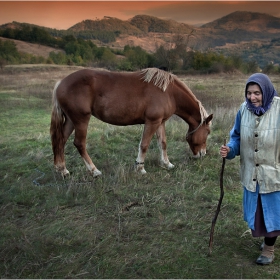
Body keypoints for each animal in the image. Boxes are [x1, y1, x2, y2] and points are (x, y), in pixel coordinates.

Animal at [49, 67, 212, 177]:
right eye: (208, 132)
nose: (202, 154)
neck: (168, 92)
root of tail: (60, 83)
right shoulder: (152, 122)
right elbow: (144, 145)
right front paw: (140, 168)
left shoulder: (160, 122)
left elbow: (163, 143)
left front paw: (167, 164)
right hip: (81, 120)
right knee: (79, 144)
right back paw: (94, 171)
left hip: (71, 120)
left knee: (60, 141)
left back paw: (62, 170)